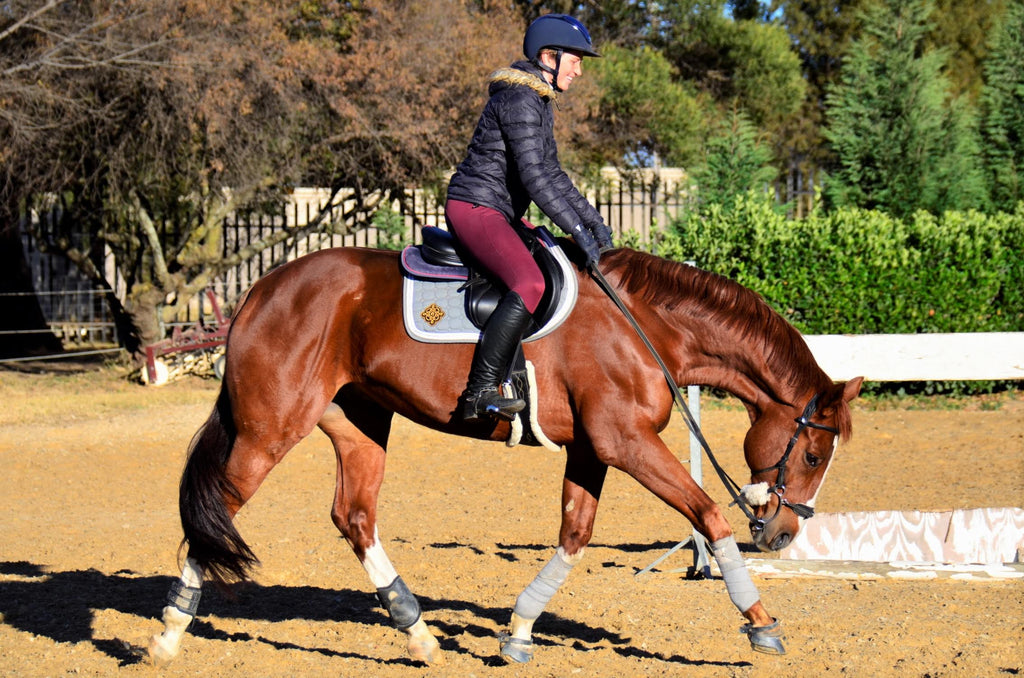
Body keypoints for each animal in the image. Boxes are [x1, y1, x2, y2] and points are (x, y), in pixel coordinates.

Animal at [148, 241, 860, 667]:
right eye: (814, 455)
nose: (785, 533)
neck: (647, 328)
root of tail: (263, 287)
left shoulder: (593, 450)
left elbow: (575, 535)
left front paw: (517, 631)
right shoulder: (627, 443)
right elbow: (709, 517)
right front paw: (761, 622)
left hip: (359, 423)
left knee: (354, 517)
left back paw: (417, 632)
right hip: (271, 428)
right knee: (218, 510)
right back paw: (170, 630)